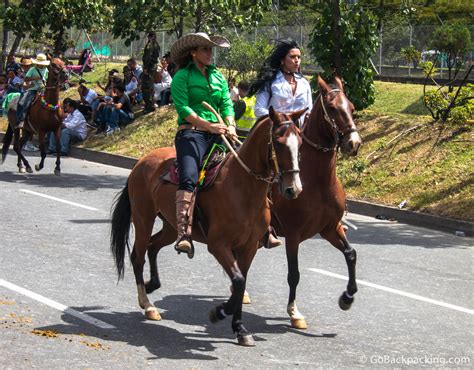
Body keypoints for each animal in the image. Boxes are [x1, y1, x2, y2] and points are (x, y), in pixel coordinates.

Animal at [110, 107, 304, 346]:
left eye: (300, 142)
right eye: (278, 142)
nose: (293, 189)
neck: (243, 187)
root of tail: (142, 161)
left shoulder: (248, 247)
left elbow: (241, 283)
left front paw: (240, 329)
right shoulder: (219, 245)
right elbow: (238, 281)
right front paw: (218, 313)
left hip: (171, 226)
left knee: (153, 246)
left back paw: (152, 284)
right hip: (143, 218)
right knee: (138, 256)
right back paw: (147, 305)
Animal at [268, 76, 362, 330]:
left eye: (352, 108)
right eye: (332, 108)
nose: (354, 143)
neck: (318, 181)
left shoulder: (330, 228)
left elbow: (351, 254)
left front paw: (347, 297)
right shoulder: (293, 234)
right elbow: (294, 274)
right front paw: (294, 312)